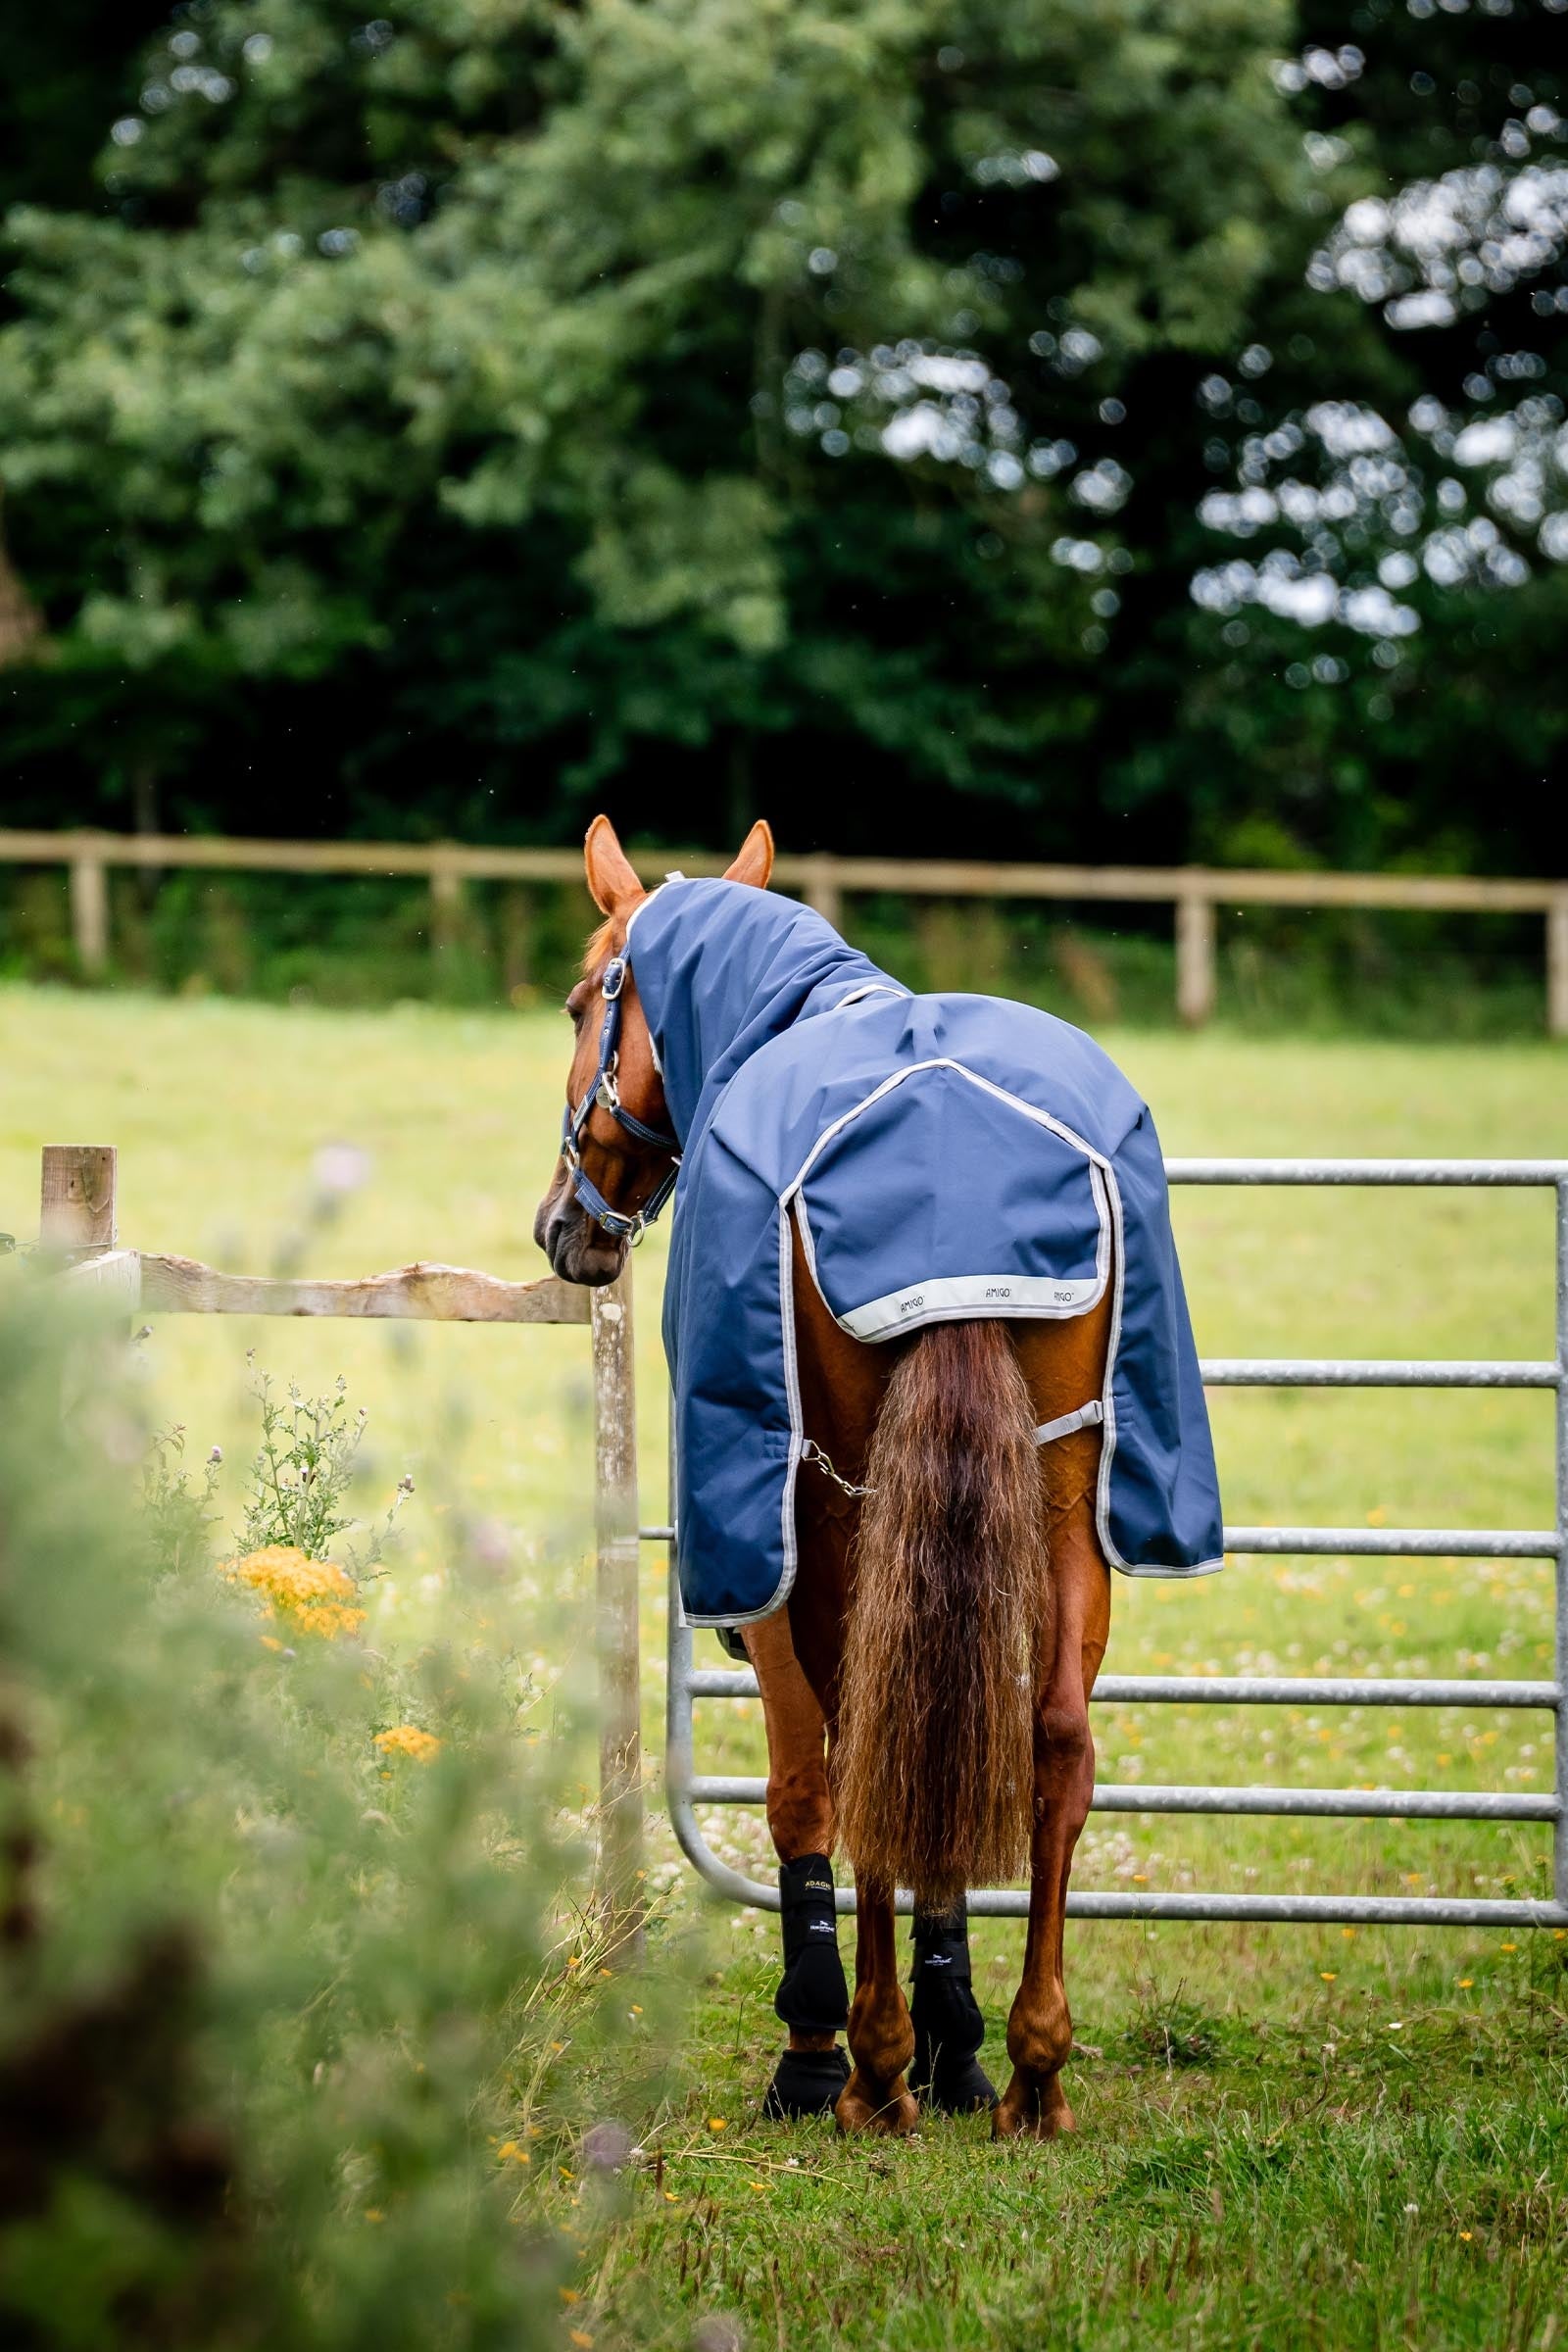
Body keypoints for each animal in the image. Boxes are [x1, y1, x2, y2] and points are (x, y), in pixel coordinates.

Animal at [534, 815, 1208, 2138]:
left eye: (585, 1003)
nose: (563, 1230)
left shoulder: (774, 1566)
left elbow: (807, 1790)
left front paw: (819, 2046)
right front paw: (960, 2045)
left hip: (835, 1518)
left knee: (863, 1752)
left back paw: (873, 2066)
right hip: (1066, 1502)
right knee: (1050, 1744)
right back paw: (1032, 2069)